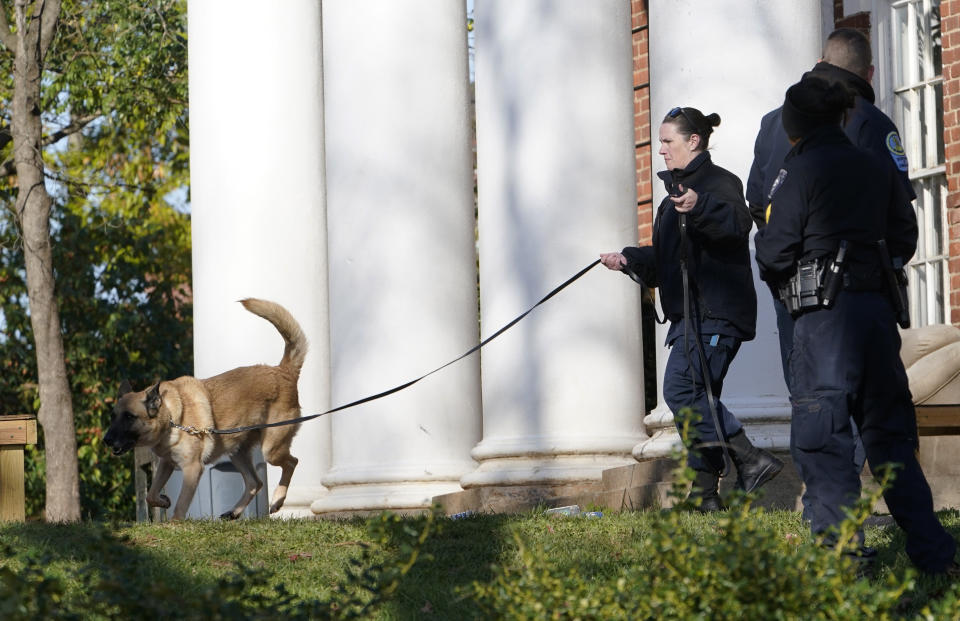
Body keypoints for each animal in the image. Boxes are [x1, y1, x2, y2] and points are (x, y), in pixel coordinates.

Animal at [102, 298, 304, 520]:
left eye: (129, 417)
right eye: (113, 417)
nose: (106, 440)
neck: (171, 418)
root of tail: (283, 370)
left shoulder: (192, 469)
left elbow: (180, 506)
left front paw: (174, 523)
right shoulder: (167, 463)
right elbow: (151, 495)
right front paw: (163, 501)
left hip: (270, 449)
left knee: (292, 462)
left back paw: (277, 500)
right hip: (237, 451)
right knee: (255, 482)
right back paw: (234, 512)